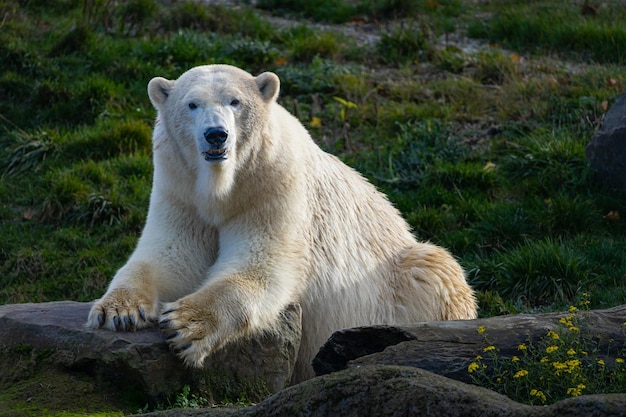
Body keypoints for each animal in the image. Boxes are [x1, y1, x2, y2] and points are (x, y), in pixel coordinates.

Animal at [86, 64, 478, 380]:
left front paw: (186, 324)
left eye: (235, 102)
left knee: (433, 267)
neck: (223, 187)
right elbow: (170, 256)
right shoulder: (179, 189)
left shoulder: (274, 184)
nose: (216, 134)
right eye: (192, 104)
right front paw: (118, 311)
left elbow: (261, 265)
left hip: (402, 277)